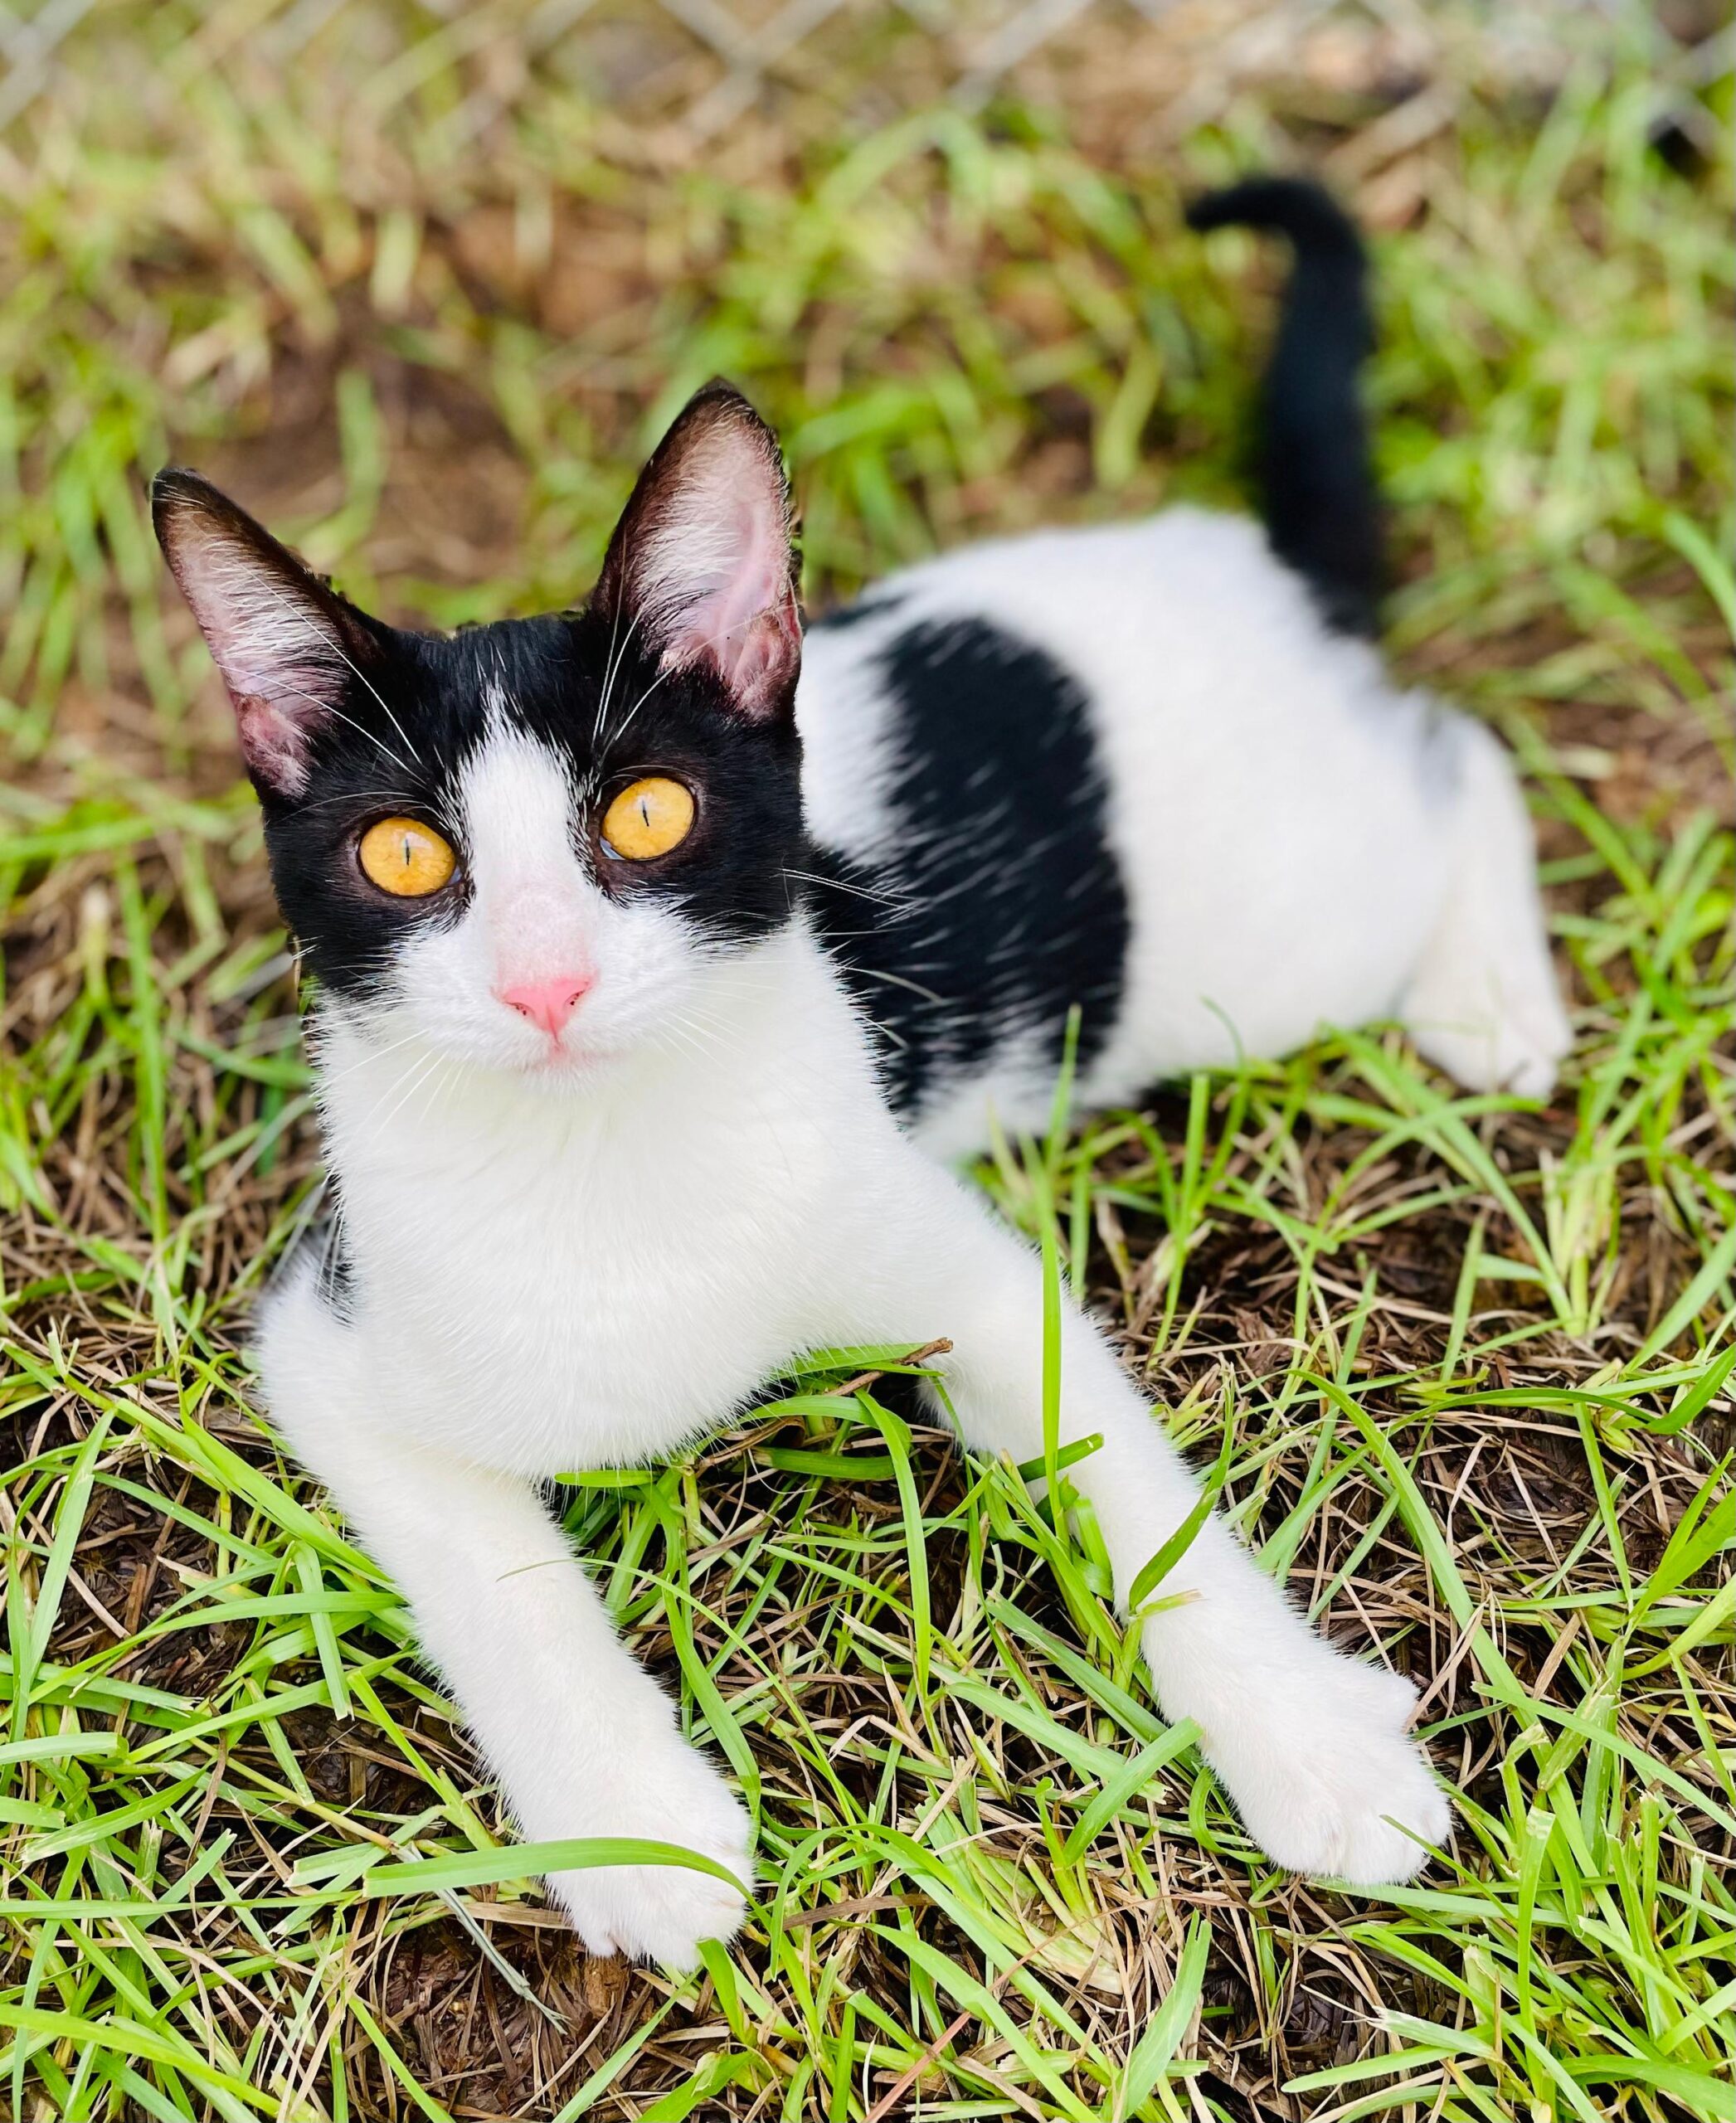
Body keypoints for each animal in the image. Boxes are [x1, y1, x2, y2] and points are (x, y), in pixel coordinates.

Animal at [145, 182, 1553, 1970]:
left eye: (649, 815)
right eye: (403, 853)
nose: (545, 981)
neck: (606, 1156)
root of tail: (1245, 567)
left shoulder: (957, 1258)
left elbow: (1126, 1482)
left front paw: (1299, 1734)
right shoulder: (328, 1336)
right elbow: (487, 1572)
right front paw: (634, 1824)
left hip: (1279, 940)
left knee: (1459, 748)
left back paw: (1489, 992)